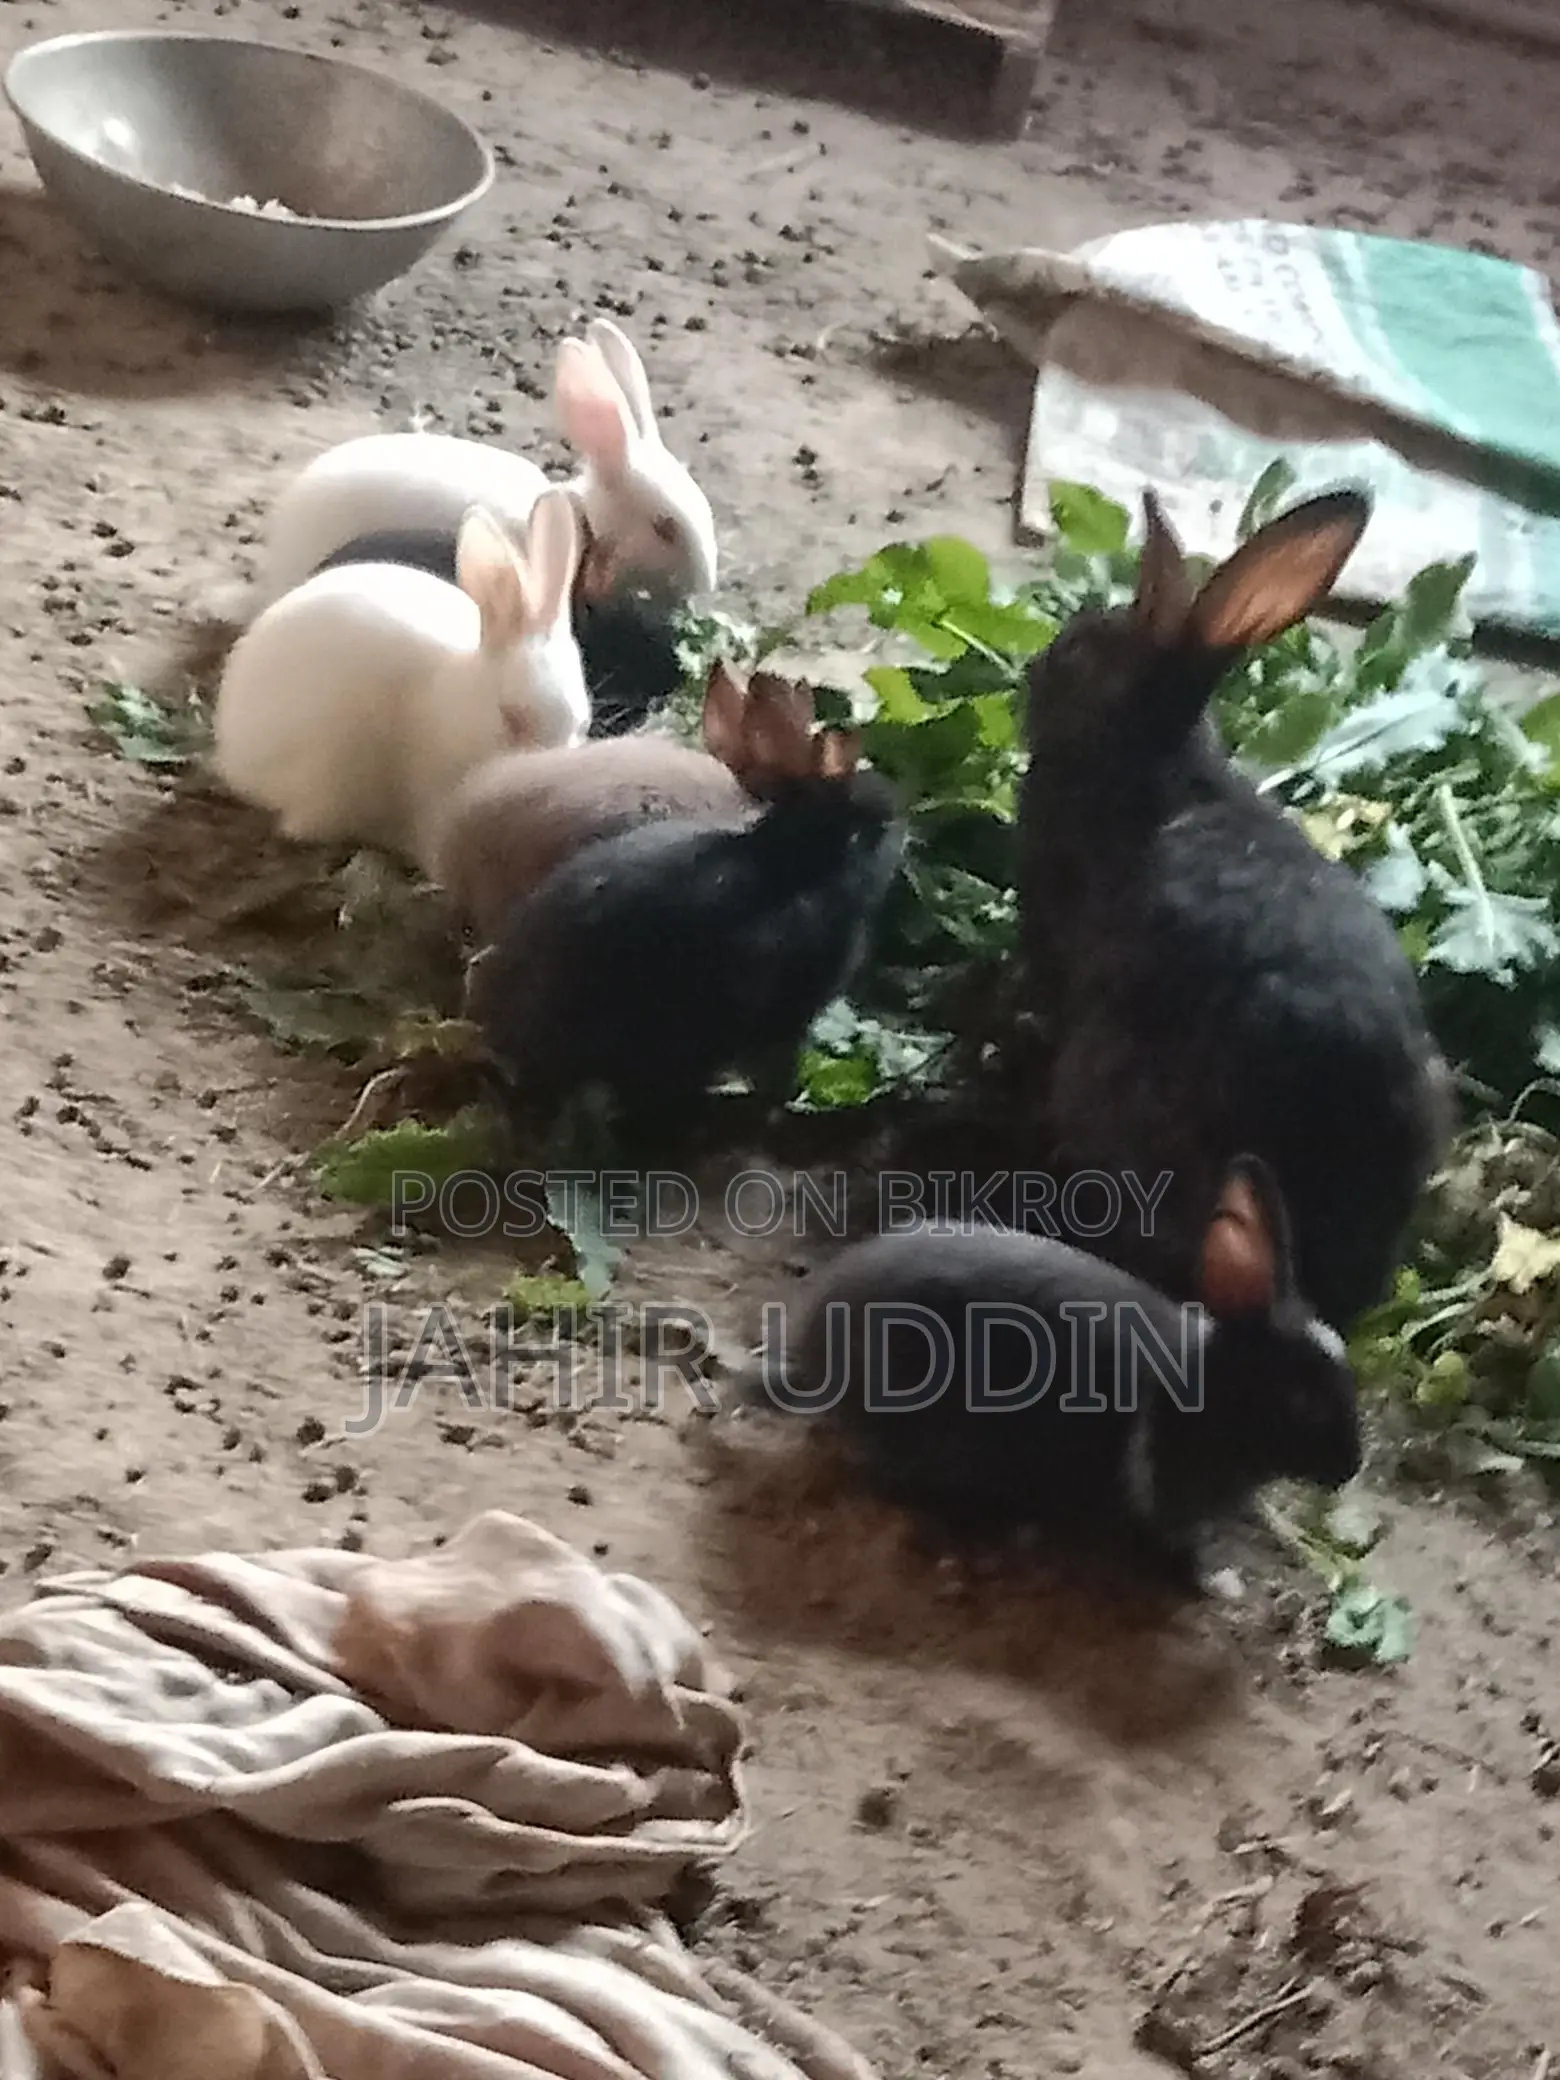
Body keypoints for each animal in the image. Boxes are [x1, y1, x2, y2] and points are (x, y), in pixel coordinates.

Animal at [736, 1154, 1361, 1593]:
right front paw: (1209, 1585)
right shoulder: (1165, 1502)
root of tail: (813, 1364)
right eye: (1303, 1400)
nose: (1350, 1470)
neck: (1212, 1390)